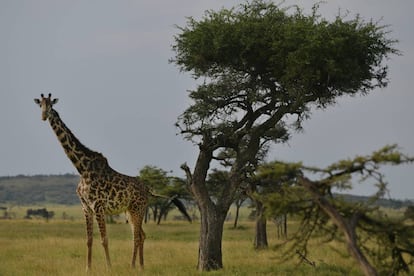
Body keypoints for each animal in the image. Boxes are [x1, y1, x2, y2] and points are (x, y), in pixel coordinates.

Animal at [33, 94, 149, 270]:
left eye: (51, 106)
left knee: (136, 237)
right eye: (40, 105)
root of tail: (148, 190)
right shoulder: (86, 207)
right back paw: (141, 266)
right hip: (129, 210)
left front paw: (109, 267)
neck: (82, 168)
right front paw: (87, 268)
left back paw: (132, 266)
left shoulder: (98, 206)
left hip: (138, 209)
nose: (44, 116)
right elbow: (89, 240)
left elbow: (104, 239)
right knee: (141, 235)